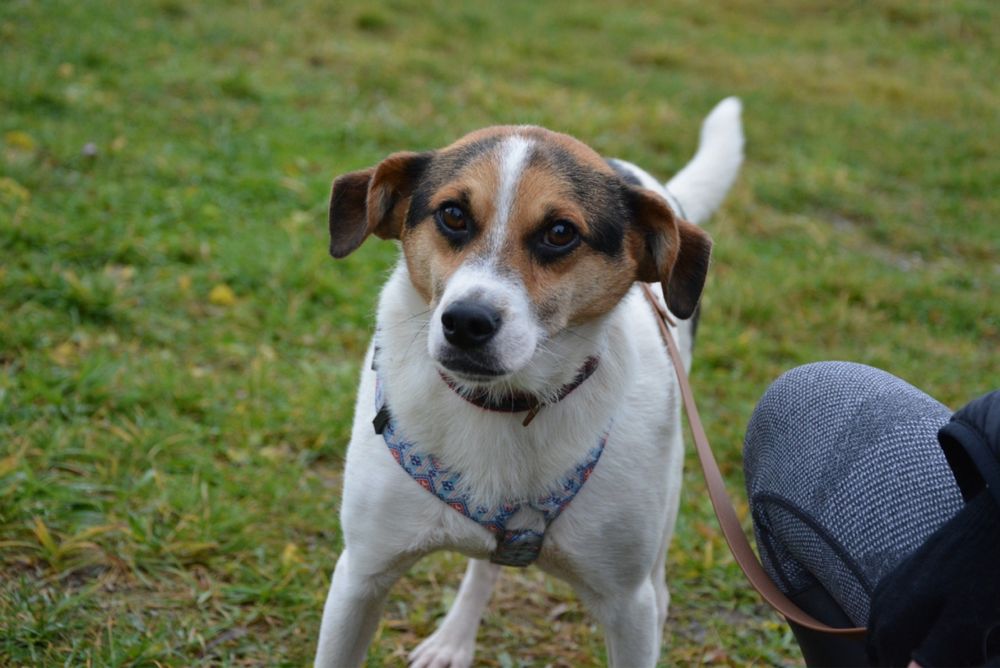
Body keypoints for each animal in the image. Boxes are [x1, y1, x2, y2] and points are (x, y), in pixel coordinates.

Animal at [312, 96, 744, 664]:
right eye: (452, 215)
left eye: (560, 233)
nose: (466, 322)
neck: (503, 405)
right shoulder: (361, 576)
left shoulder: (628, 607)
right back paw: (454, 639)